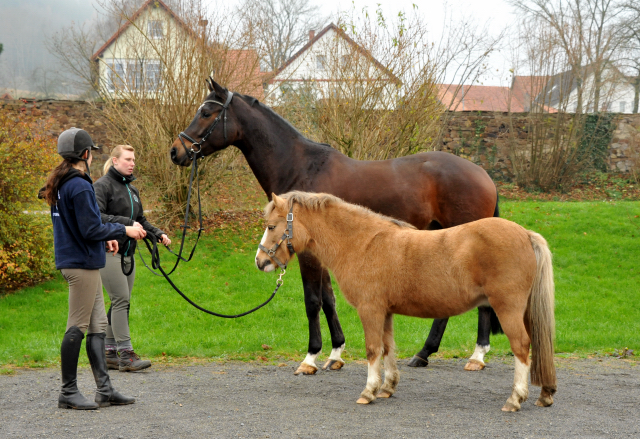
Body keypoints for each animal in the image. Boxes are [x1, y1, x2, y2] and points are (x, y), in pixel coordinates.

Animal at [170, 78, 500, 374]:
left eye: (206, 112)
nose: (176, 151)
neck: (300, 166)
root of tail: (482, 173)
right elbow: (328, 300)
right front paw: (335, 353)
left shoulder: (307, 254)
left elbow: (313, 300)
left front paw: (310, 358)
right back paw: (424, 353)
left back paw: (477, 356)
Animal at [255, 192, 556, 412]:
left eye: (271, 226)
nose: (260, 262)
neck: (362, 243)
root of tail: (526, 234)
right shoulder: (386, 312)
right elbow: (388, 348)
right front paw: (387, 388)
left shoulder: (371, 310)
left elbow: (373, 350)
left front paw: (369, 391)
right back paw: (545, 394)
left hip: (508, 308)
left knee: (522, 346)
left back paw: (515, 399)